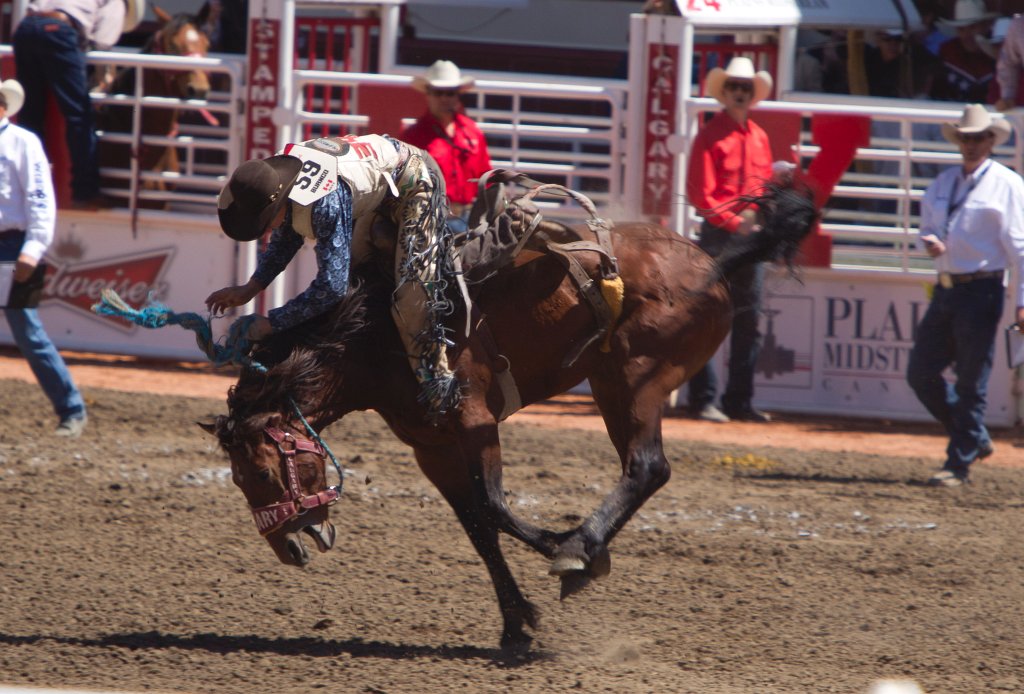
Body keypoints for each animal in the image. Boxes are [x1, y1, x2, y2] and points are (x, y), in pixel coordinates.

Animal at [203, 183, 819, 651]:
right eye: (235, 480)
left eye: (261, 473)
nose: (288, 549)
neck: (374, 338)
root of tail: (712, 264)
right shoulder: (431, 448)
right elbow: (477, 525)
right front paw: (516, 622)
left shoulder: (474, 420)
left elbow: (495, 506)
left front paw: (571, 554)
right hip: (610, 383)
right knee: (641, 467)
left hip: (636, 377)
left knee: (647, 467)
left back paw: (578, 547)